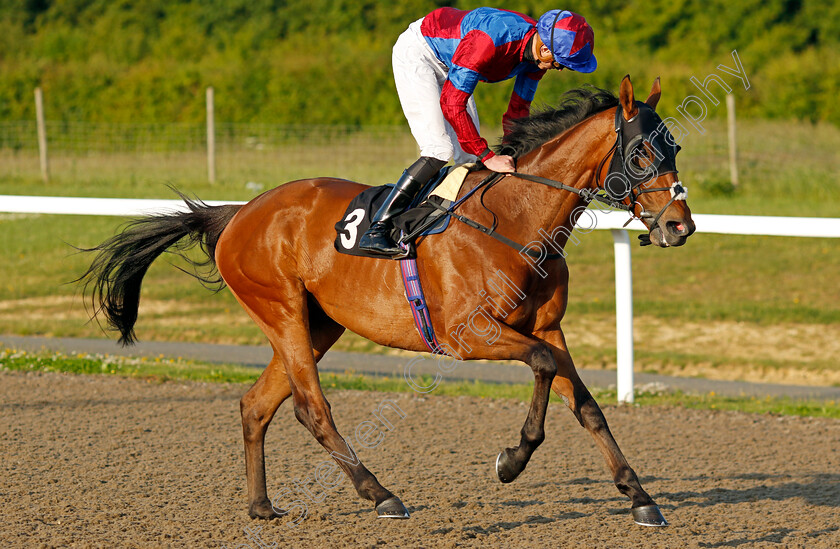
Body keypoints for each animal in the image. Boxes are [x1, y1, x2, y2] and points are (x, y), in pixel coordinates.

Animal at [79, 75, 696, 524]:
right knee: (310, 407)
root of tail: (236, 213)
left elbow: (586, 404)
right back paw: (380, 494)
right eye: (641, 153)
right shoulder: (467, 337)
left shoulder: (548, 327)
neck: (515, 221)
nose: (680, 225)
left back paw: (261, 506)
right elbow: (544, 369)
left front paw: (640, 497)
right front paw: (511, 461)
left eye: (675, 146)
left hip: (319, 323)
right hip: (281, 311)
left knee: (257, 404)